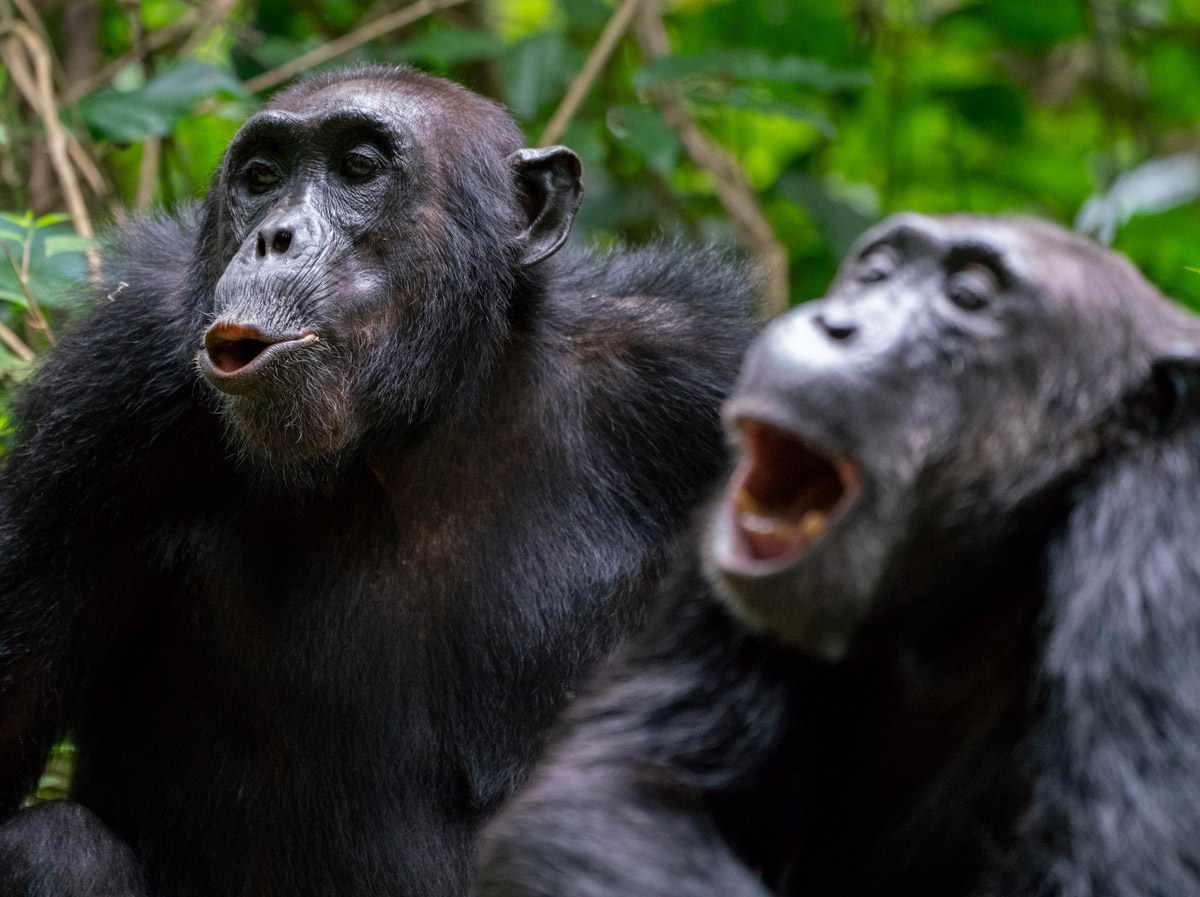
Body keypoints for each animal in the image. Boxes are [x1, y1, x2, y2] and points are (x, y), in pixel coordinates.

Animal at [0, 64, 753, 897]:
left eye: (359, 168)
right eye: (260, 179)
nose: (275, 236)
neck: (421, 420)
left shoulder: (702, 370)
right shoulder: (104, 397)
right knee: (54, 844)